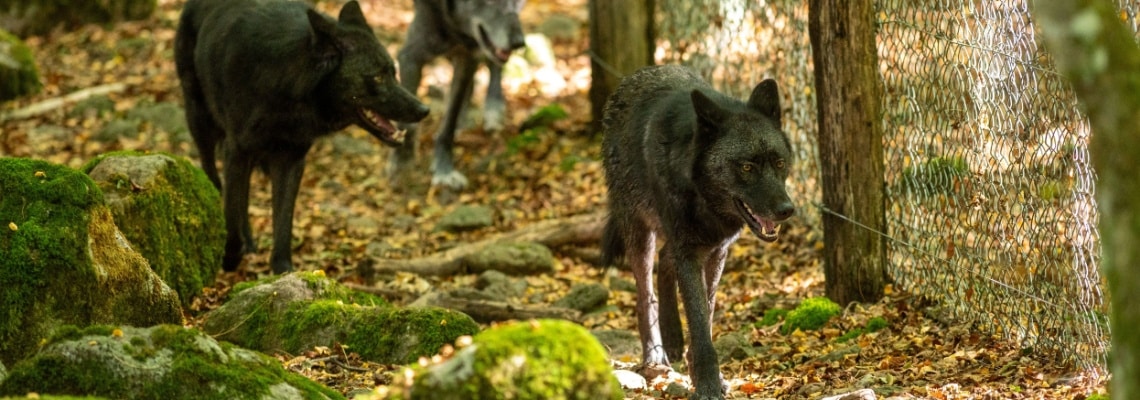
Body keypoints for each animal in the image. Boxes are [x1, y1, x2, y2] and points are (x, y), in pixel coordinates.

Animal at [173, 0, 428, 275]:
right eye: (378, 76)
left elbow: (283, 222)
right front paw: (229, 257)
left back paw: (250, 242)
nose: (424, 110)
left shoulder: (291, 160)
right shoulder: (236, 151)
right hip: (200, 122)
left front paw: (283, 270)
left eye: (393, 72)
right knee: (213, 175)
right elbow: (231, 211)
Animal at [385, 0, 522, 189]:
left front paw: (444, 169)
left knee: (495, 65)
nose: (519, 42)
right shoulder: (410, 56)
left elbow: (449, 122)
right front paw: (402, 165)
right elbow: (408, 124)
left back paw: (494, 108)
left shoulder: (468, 57)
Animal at [601, 65, 798, 400]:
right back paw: (656, 354)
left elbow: (705, 314)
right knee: (645, 294)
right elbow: (696, 315)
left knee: (665, 264)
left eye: (780, 162)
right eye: (747, 167)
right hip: (640, 232)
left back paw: (673, 339)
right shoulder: (690, 251)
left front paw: (705, 374)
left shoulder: (716, 250)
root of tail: (637, 75)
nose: (787, 209)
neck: (703, 197)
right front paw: (706, 383)